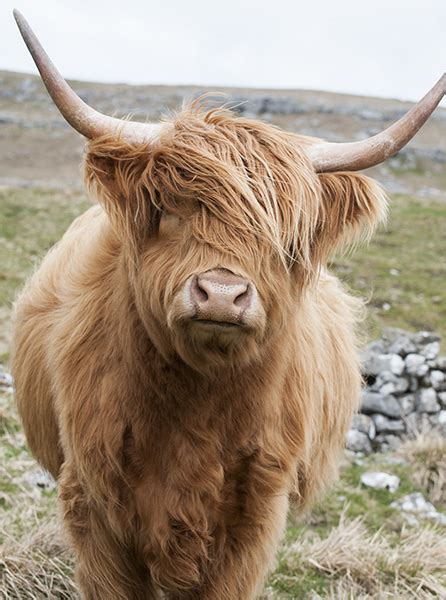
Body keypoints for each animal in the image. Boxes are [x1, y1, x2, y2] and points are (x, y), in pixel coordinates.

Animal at [11, 9, 446, 600]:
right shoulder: (94, 505)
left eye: (283, 234)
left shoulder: (253, 515)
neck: (197, 407)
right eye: (170, 207)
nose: (221, 293)